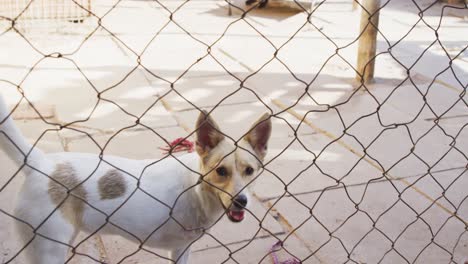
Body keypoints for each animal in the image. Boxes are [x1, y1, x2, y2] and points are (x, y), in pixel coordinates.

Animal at [0, 95, 272, 264]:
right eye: (221, 171)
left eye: (250, 171)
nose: (241, 201)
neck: (195, 186)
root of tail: (40, 161)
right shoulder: (180, 247)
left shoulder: (182, 249)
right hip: (49, 249)